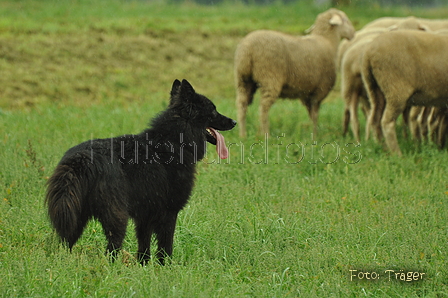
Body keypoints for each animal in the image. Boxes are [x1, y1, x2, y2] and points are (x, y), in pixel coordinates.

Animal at [45, 78, 236, 264]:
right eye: (213, 110)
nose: (234, 122)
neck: (175, 141)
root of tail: (81, 157)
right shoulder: (169, 212)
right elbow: (166, 246)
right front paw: (165, 268)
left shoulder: (145, 215)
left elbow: (144, 247)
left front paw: (143, 267)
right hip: (116, 218)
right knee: (111, 249)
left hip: (73, 217)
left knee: (65, 244)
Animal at [234, 8, 354, 137]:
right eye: (345, 20)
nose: (353, 34)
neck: (327, 40)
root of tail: (248, 49)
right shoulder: (320, 90)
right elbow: (315, 114)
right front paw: (315, 135)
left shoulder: (306, 92)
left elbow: (311, 114)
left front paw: (312, 132)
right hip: (269, 77)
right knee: (263, 107)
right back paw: (266, 134)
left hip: (243, 79)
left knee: (242, 105)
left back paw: (243, 135)